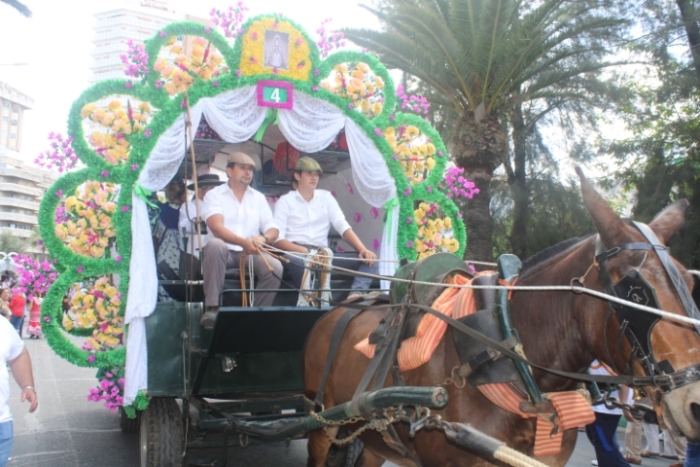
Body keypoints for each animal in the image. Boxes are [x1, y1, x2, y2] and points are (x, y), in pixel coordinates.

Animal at [304, 169, 700, 467]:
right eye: (635, 293)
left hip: (375, 438)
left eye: (691, 282)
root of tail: (337, 310)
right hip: (320, 422)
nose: (695, 402)